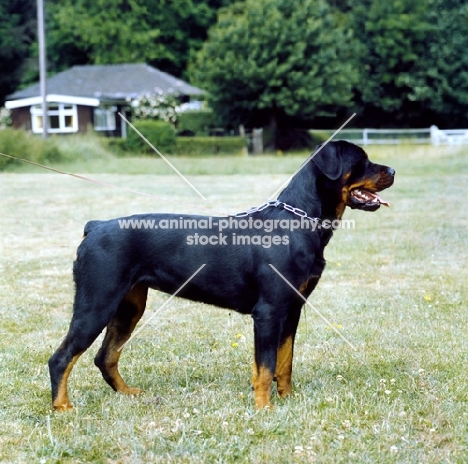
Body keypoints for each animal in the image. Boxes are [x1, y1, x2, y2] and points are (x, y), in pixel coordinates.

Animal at [48, 140, 394, 410]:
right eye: (361, 161)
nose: (392, 171)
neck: (299, 222)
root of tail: (95, 226)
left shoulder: (292, 309)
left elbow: (285, 362)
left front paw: (287, 400)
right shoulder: (268, 311)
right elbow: (265, 367)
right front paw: (264, 408)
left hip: (128, 307)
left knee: (105, 356)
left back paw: (127, 394)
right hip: (97, 303)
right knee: (61, 357)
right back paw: (63, 407)